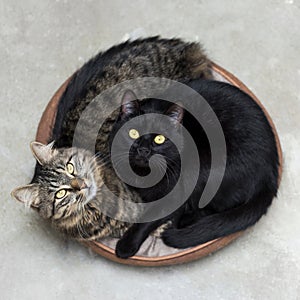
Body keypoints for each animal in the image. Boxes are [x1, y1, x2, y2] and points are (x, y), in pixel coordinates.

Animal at [112, 79, 278, 258]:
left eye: (160, 139)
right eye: (133, 133)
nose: (143, 150)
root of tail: (271, 175)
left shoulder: (174, 196)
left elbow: (148, 219)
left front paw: (126, 245)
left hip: (203, 167)